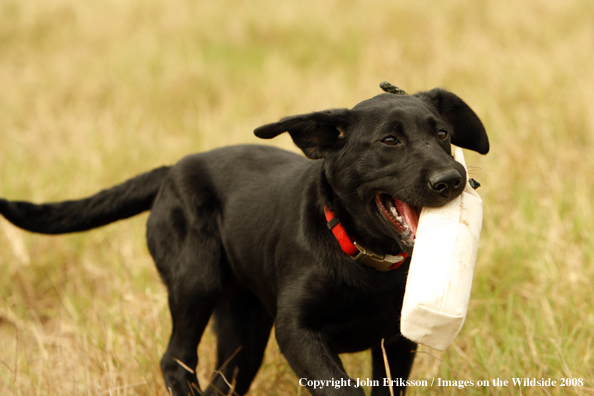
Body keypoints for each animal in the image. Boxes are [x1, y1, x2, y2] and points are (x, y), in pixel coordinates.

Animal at [1, 89, 486, 396]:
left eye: (442, 134)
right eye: (390, 140)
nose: (452, 180)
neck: (362, 258)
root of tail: (171, 172)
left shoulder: (396, 342)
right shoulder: (297, 332)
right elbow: (342, 389)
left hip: (244, 332)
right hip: (195, 283)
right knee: (175, 360)